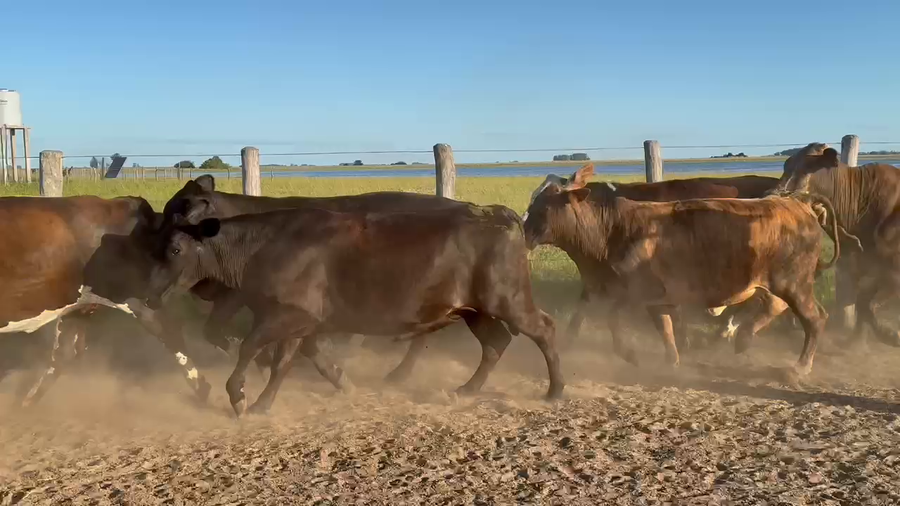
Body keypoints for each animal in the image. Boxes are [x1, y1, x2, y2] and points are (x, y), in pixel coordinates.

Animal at [0, 195, 211, 407]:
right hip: (77, 306)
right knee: (64, 353)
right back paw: (26, 403)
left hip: (136, 297)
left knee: (170, 331)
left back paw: (203, 390)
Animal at [138, 203, 564, 416]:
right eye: (153, 246)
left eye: (175, 249)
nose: (148, 295)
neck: (261, 247)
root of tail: (500, 214)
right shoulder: (300, 322)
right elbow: (288, 362)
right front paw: (264, 403)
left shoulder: (285, 316)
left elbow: (250, 348)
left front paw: (240, 395)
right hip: (475, 309)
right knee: (495, 342)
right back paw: (466, 389)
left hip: (507, 299)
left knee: (544, 329)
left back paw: (555, 390)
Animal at [774, 142, 900, 348]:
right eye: (786, 166)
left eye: (808, 167)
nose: (771, 194)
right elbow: (862, 305)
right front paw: (856, 342)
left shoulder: (893, 273)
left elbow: (867, 304)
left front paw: (889, 335)